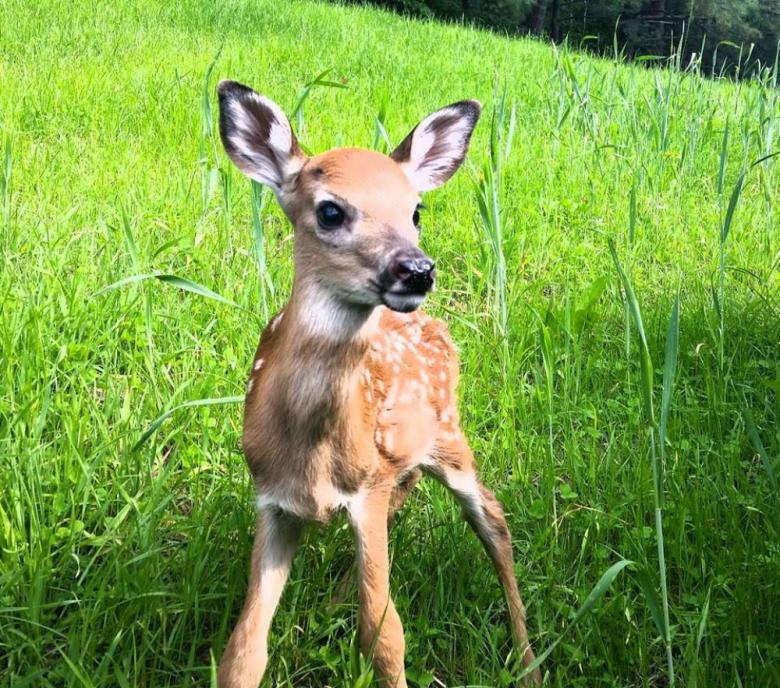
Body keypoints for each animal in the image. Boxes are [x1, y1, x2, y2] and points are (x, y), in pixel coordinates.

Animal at [215, 79, 541, 688]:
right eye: (330, 210)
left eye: (416, 210)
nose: (416, 269)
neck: (312, 455)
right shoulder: (272, 500)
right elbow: (243, 650)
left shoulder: (365, 488)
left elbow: (385, 635)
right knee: (410, 497)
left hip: (451, 435)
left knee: (492, 517)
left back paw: (528, 660)